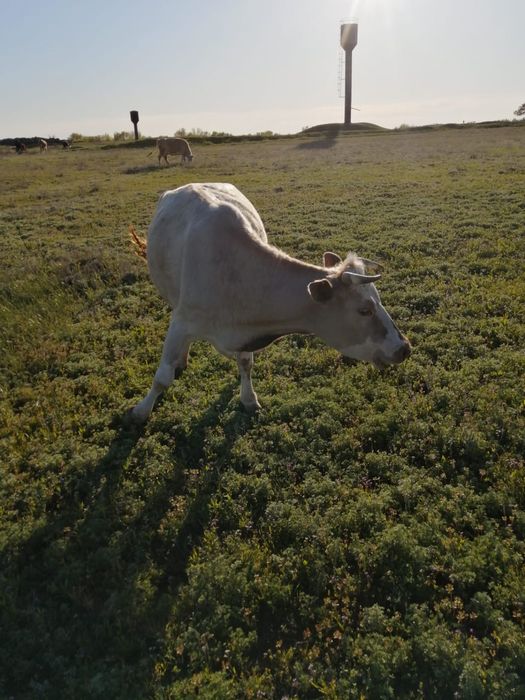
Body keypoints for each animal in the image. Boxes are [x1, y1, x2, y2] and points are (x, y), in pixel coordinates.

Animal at [130, 183, 410, 423]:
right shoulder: (181, 322)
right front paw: (141, 411)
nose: (404, 348)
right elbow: (162, 378)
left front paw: (248, 398)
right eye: (365, 310)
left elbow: (245, 364)